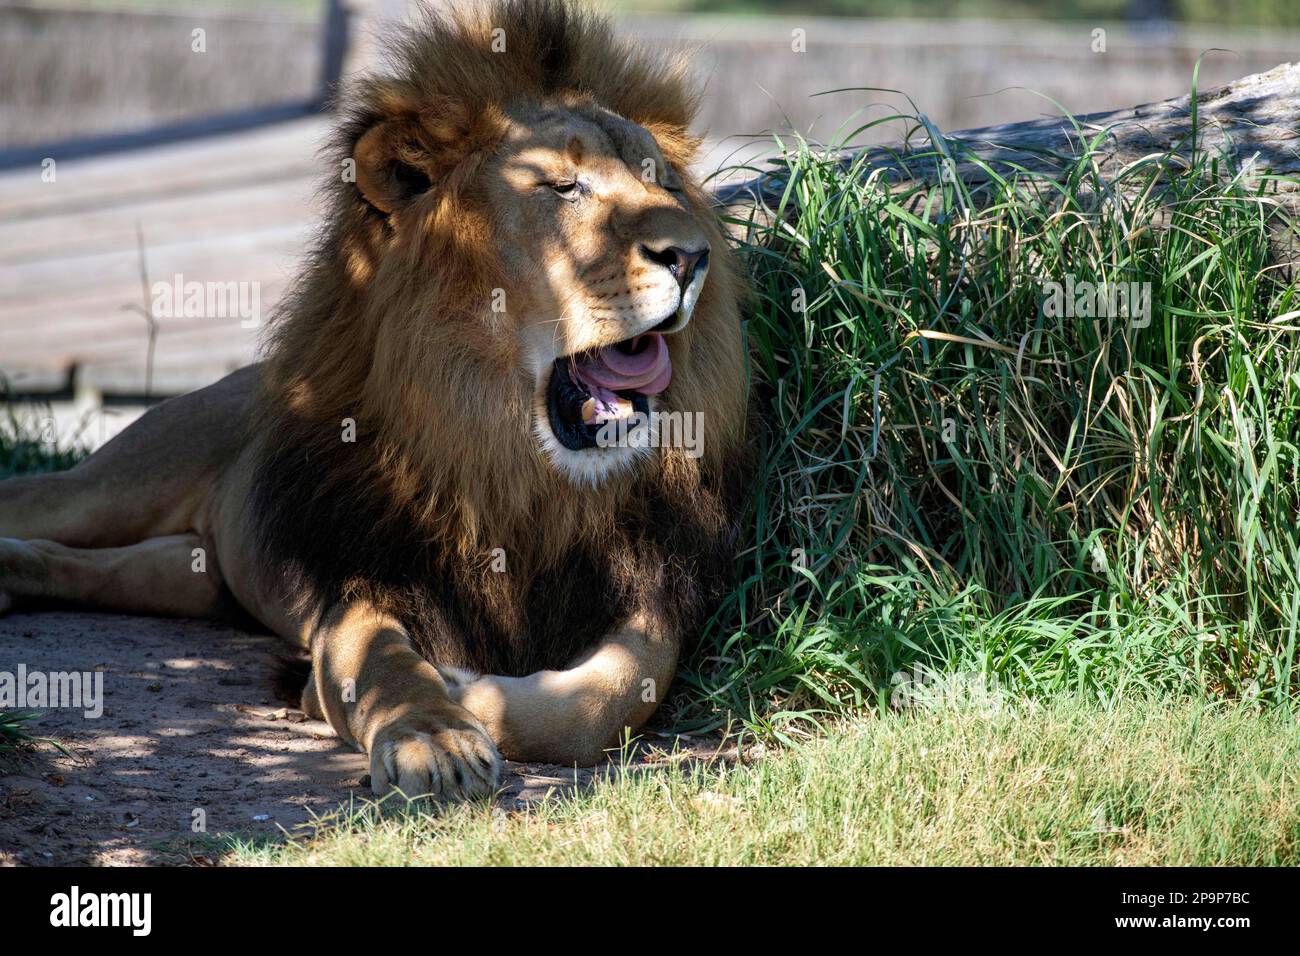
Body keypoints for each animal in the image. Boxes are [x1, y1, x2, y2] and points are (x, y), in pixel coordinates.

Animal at [0, 0, 754, 801]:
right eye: (561, 187)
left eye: (665, 185)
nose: (692, 256)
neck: (514, 472)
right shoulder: (363, 583)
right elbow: (385, 665)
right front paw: (436, 733)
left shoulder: (651, 589)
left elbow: (598, 702)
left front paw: (465, 691)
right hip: (113, 487)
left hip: (194, 574)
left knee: (82, 565)